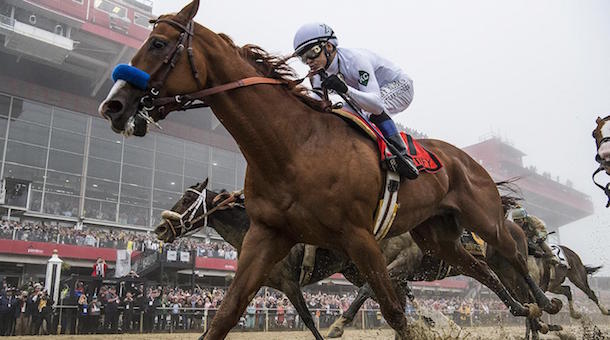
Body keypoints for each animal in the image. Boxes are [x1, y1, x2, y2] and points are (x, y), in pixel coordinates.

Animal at [98, 1, 556, 338]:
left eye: (158, 44)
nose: (113, 105)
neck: (293, 147)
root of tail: (468, 159)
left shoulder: (360, 238)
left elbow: (393, 312)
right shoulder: (268, 237)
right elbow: (226, 314)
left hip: (482, 217)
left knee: (514, 250)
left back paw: (544, 303)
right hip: (436, 236)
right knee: (481, 269)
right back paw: (526, 308)